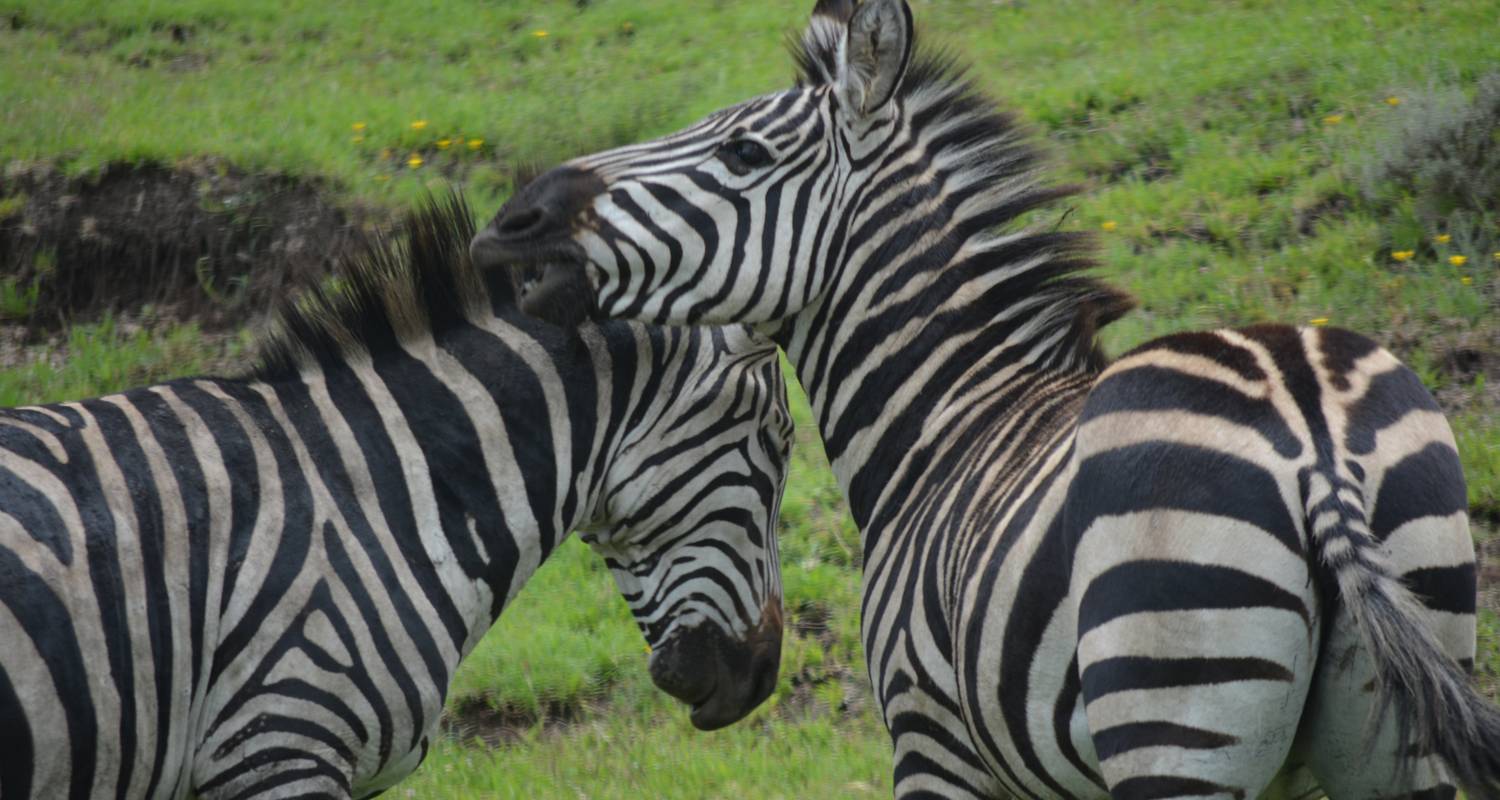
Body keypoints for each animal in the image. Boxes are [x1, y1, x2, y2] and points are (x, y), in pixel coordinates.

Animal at [471, 3, 1500, 792]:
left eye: (744, 151)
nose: (509, 224)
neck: (947, 419)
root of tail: (1311, 435)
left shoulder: (932, 739)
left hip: (1173, 707)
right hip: (1395, 716)